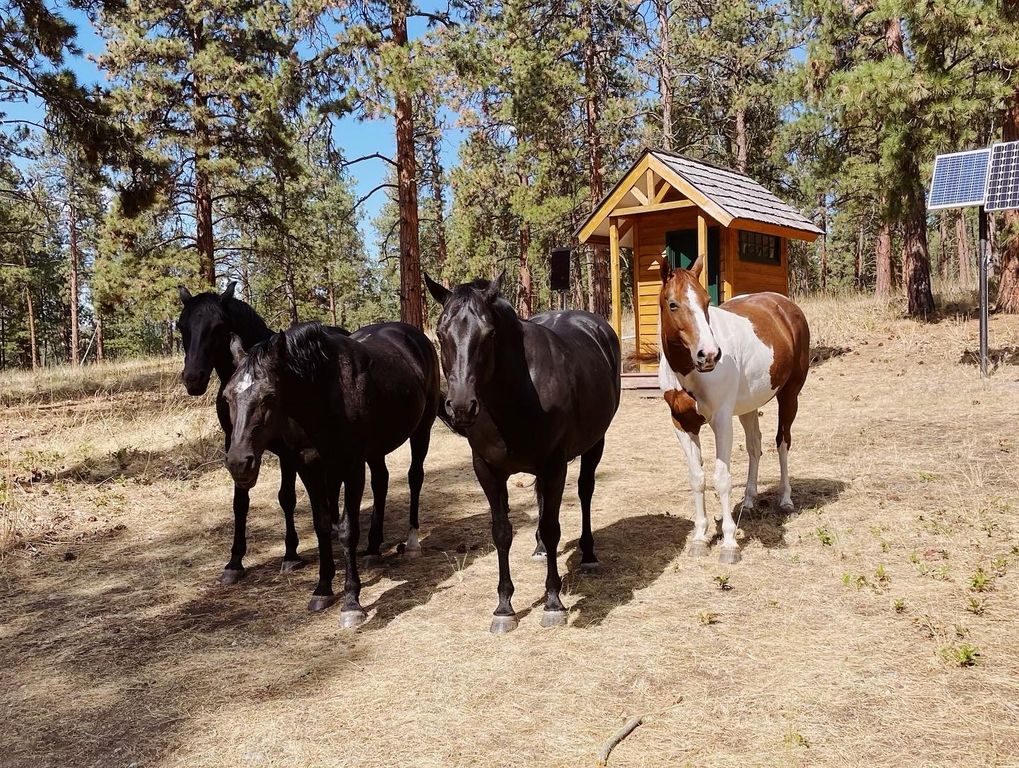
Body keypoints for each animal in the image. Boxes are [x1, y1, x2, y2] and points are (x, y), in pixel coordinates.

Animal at [222, 321, 440, 627]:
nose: (239, 462)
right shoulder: (309, 467)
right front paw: (323, 589)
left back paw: (411, 543)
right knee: (382, 482)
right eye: (227, 396)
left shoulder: (351, 466)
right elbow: (322, 525)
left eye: (269, 396)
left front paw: (351, 603)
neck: (324, 397)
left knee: (415, 477)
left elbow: (347, 530)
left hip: (422, 430)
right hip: (376, 450)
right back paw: (372, 549)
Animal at [424, 271, 621, 634]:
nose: (461, 407)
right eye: (441, 333)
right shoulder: (487, 470)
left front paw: (554, 603)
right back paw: (540, 549)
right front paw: (504, 608)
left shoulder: (555, 465)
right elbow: (502, 533)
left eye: (488, 334)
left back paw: (588, 555)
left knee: (585, 492)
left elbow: (554, 528)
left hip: (594, 443)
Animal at [656, 257, 810, 564]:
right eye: (673, 304)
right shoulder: (682, 425)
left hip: (789, 395)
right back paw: (749, 501)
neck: (688, 372)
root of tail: (786, 306)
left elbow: (722, 479)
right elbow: (698, 478)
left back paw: (786, 499)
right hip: (748, 406)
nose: (710, 354)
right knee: (755, 446)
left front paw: (729, 543)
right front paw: (700, 537)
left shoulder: (722, 421)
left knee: (782, 442)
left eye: (706, 301)